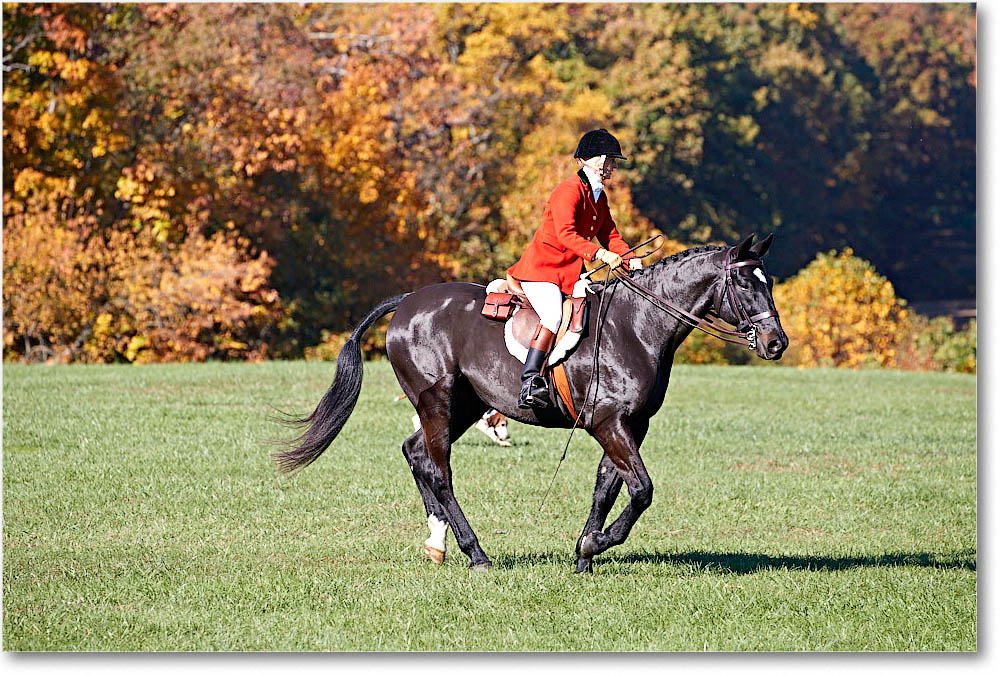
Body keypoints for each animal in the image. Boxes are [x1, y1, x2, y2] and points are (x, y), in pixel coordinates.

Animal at [276, 235, 788, 572]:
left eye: (769, 282)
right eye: (746, 286)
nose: (776, 343)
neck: (637, 325)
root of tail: (407, 303)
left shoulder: (630, 425)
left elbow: (607, 488)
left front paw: (584, 553)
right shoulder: (609, 423)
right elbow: (641, 489)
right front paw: (598, 543)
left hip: (465, 404)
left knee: (416, 453)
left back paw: (437, 542)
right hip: (438, 401)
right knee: (438, 470)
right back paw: (475, 554)